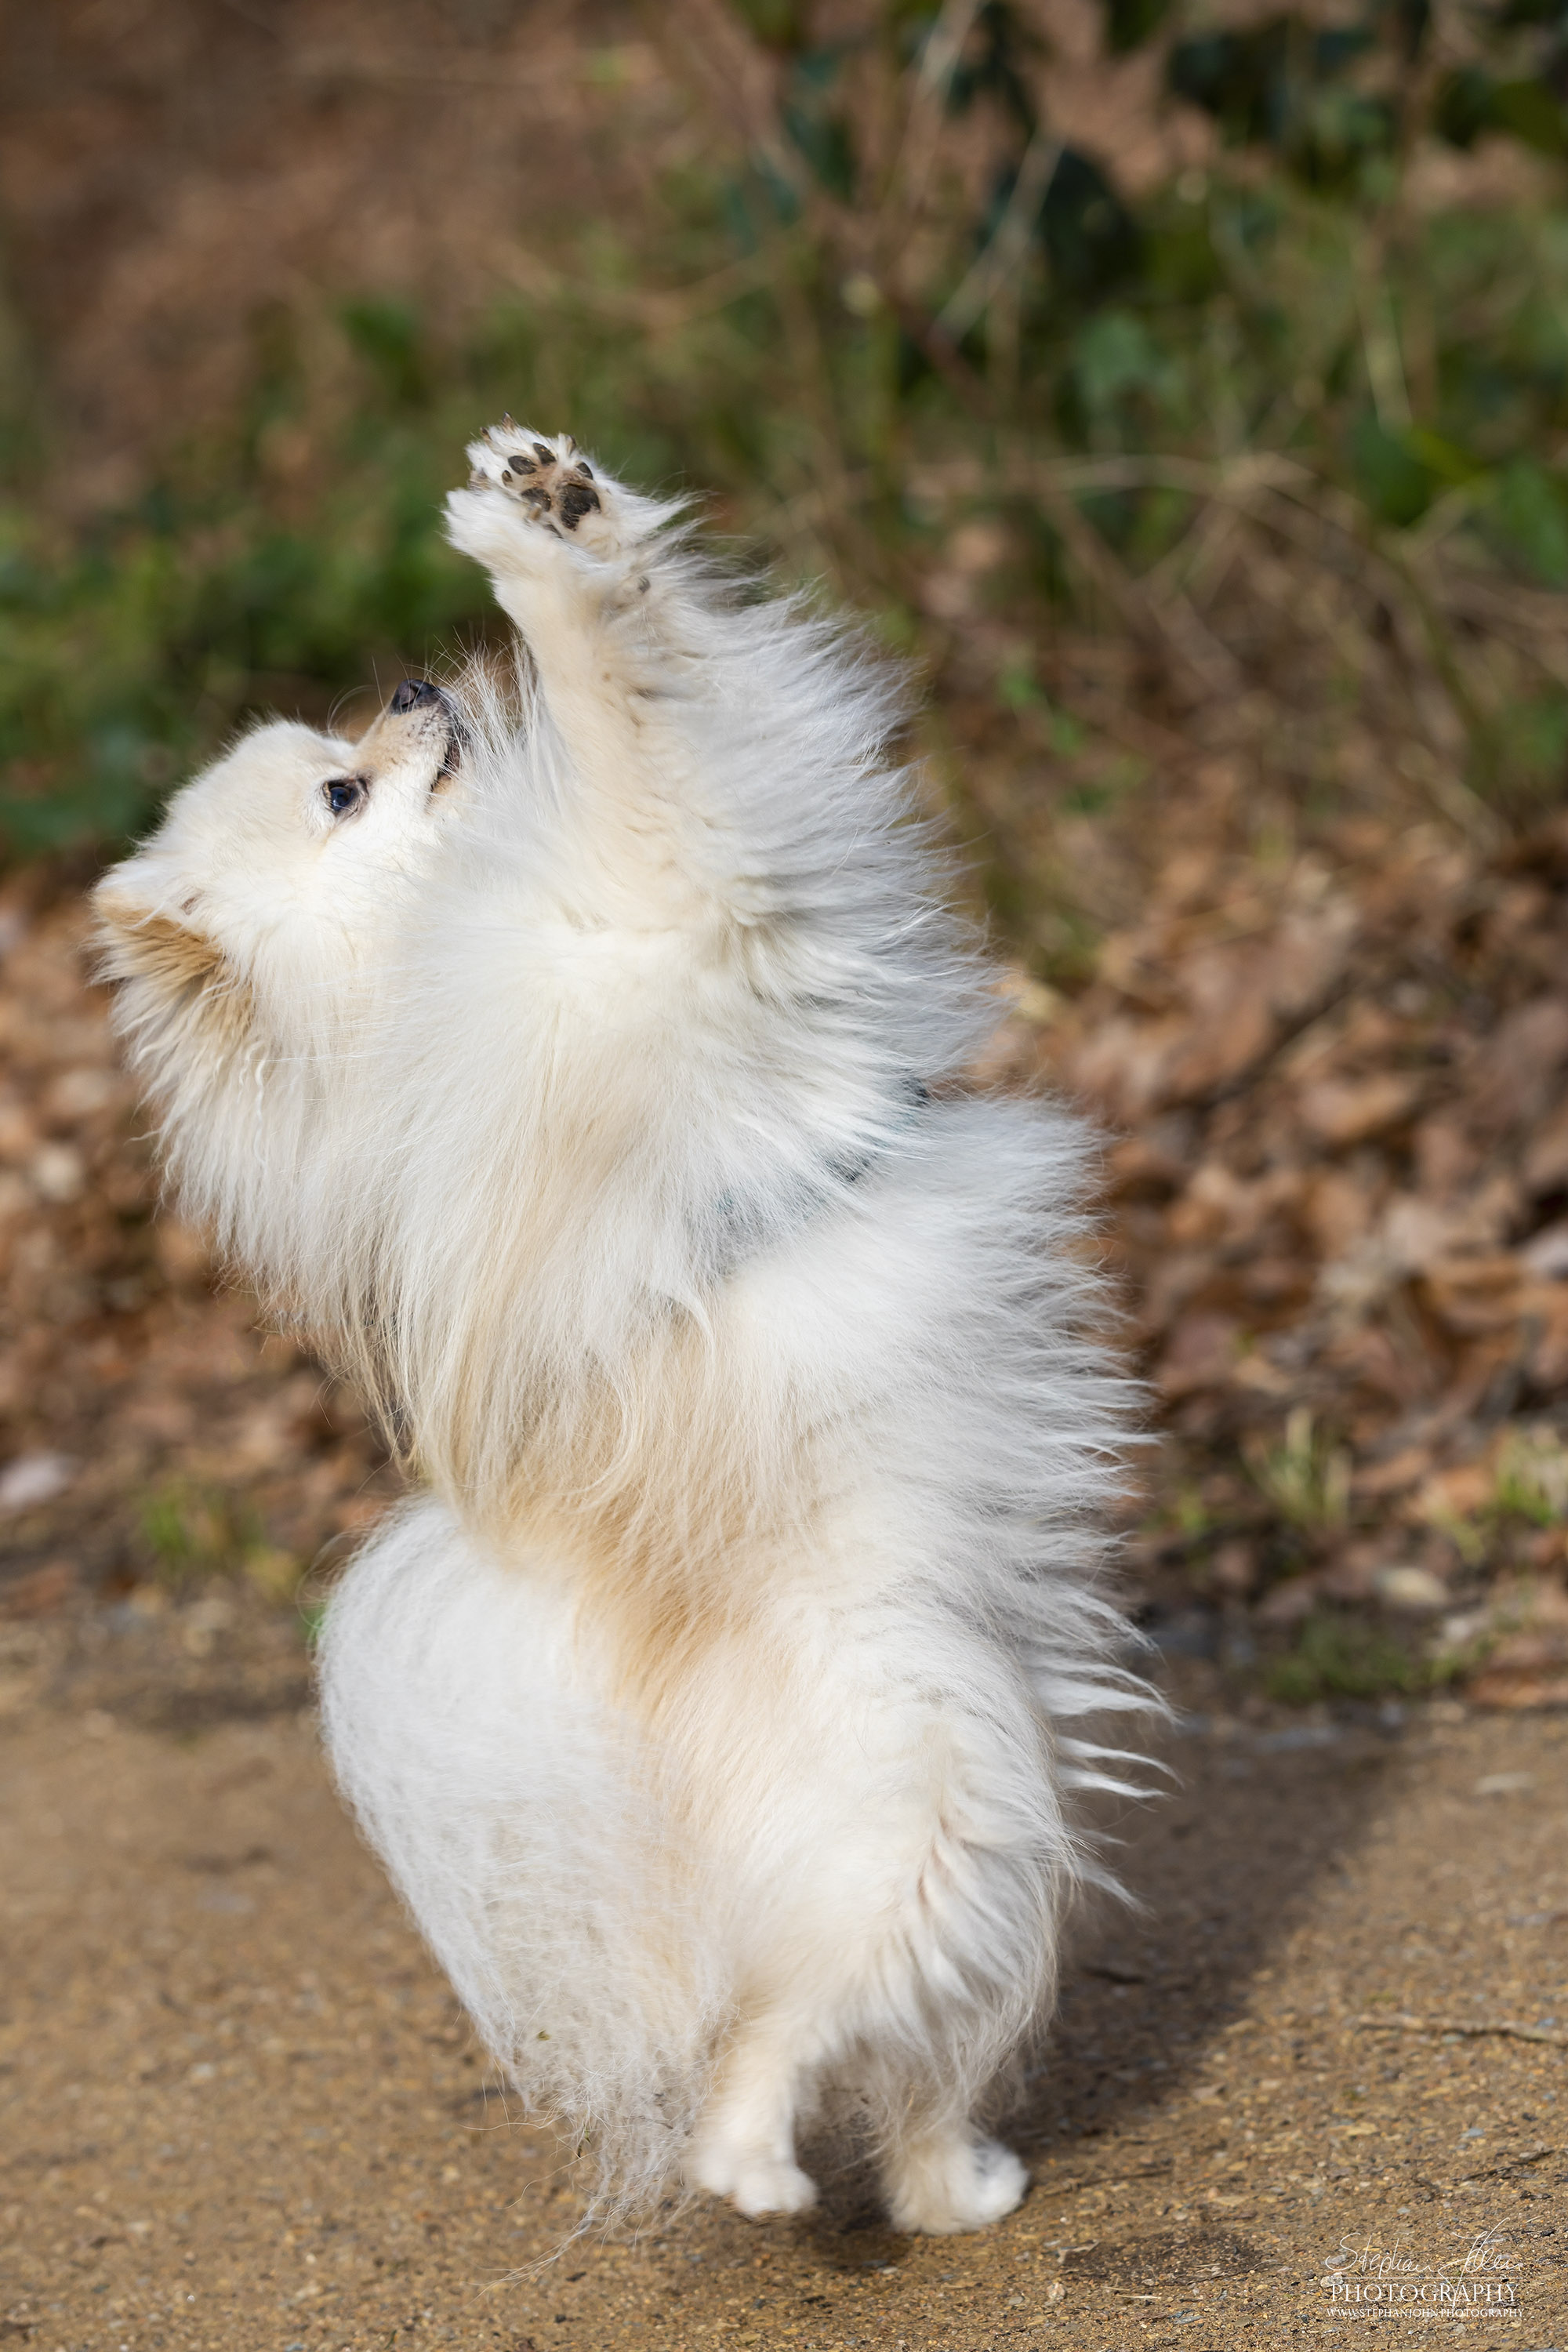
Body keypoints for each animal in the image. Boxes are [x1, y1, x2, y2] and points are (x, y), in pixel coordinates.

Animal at [95, 428, 1152, 2239]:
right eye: (341, 793)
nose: (411, 684)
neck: (406, 959)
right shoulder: (662, 892)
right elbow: (626, 713)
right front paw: (539, 566)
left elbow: (668, 671)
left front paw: (555, 500)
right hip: (923, 1820)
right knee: (792, 2031)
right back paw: (760, 2172)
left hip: (995, 1823)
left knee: (910, 2059)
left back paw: (959, 2187)